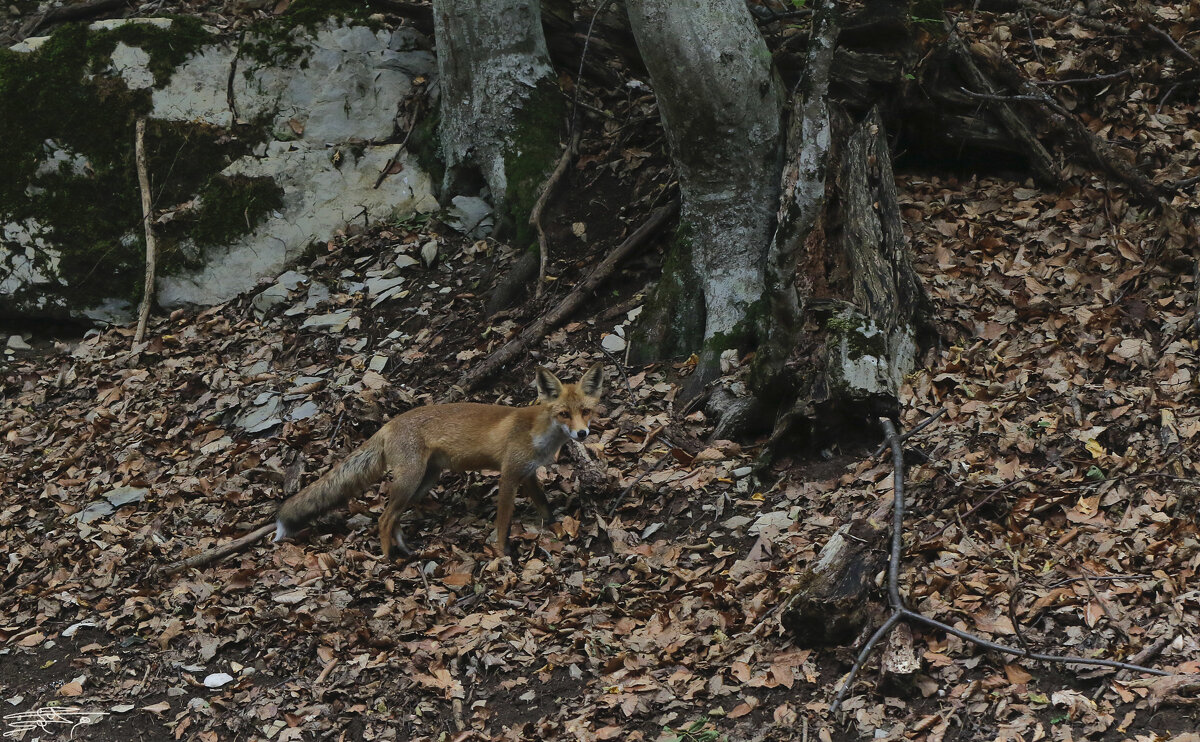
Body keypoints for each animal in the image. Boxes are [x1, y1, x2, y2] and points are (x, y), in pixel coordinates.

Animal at [276, 360, 604, 557]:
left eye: (585, 411)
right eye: (564, 414)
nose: (582, 434)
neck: (539, 434)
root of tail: (387, 424)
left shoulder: (528, 474)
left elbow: (545, 507)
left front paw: (555, 528)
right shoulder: (509, 475)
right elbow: (503, 522)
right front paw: (502, 554)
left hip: (422, 482)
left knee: (395, 517)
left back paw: (406, 550)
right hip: (410, 480)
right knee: (383, 518)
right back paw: (387, 558)